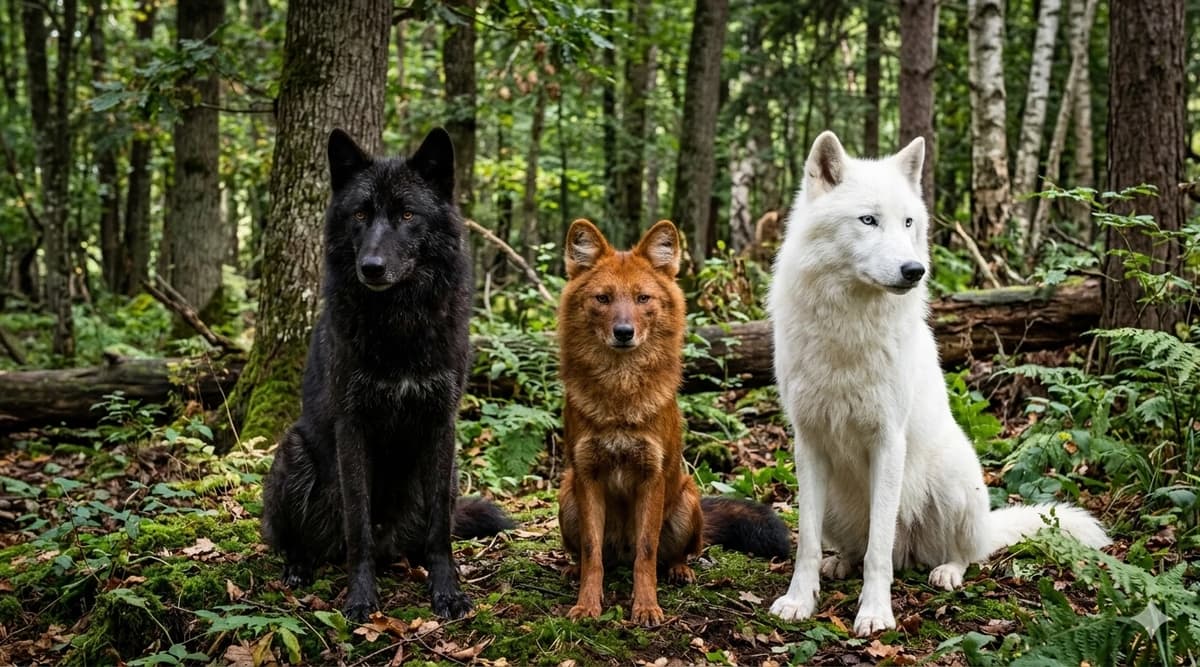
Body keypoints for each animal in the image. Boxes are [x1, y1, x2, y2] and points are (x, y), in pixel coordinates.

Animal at [261, 127, 511, 623]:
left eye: (408, 215)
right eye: (360, 213)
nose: (371, 267)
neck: (399, 326)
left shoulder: (441, 423)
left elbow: (440, 531)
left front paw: (447, 590)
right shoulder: (352, 426)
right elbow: (357, 525)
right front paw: (360, 598)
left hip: (450, 472)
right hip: (294, 451)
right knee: (296, 539)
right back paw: (300, 567)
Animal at [557, 219, 790, 626]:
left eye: (642, 298)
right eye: (603, 298)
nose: (623, 332)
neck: (620, 395)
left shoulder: (652, 476)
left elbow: (647, 551)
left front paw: (646, 607)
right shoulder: (586, 475)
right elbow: (590, 549)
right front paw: (587, 604)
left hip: (686, 499)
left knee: (675, 553)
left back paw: (680, 570)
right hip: (566, 496)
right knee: (596, 555)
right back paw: (573, 569)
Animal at [765, 132, 1110, 636]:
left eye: (908, 222)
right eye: (868, 220)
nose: (915, 271)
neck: (849, 326)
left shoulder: (888, 442)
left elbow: (878, 552)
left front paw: (875, 613)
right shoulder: (808, 443)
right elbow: (806, 543)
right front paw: (798, 601)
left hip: (953, 481)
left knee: (958, 553)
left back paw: (946, 572)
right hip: (835, 505)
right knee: (857, 547)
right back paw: (839, 564)